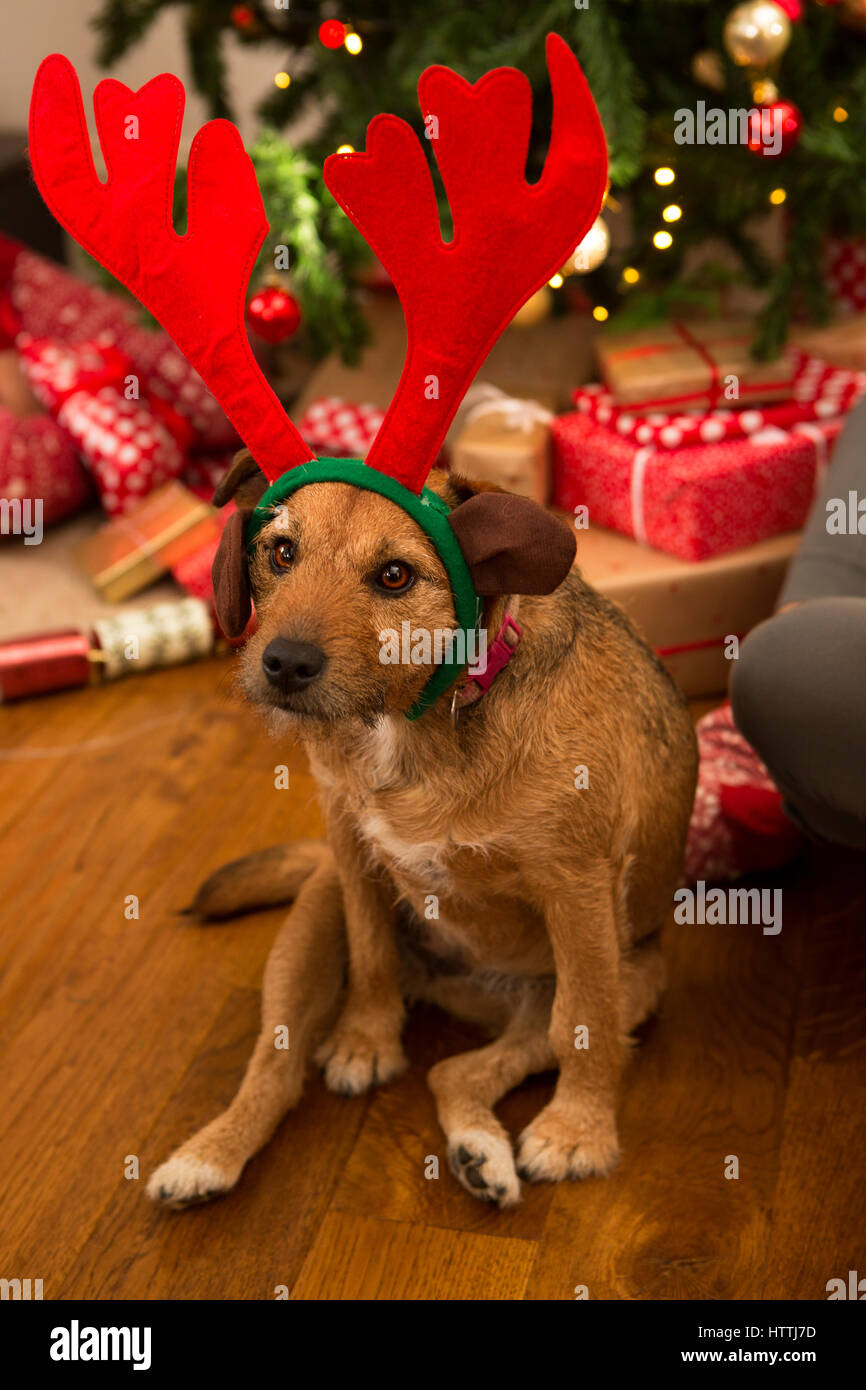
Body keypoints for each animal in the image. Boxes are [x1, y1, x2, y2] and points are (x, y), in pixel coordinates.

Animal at [145, 453, 700, 1206]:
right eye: (281, 552)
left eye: (395, 575)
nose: (283, 664)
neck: (415, 718)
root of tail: (463, 993)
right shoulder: (350, 844)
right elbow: (372, 953)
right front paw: (366, 1040)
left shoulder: (579, 890)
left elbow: (583, 1024)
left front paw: (578, 1132)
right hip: (309, 923)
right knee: (276, 1067)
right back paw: (208, 1156)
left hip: (632, 979)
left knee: (465, 1067)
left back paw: (479, 1151)